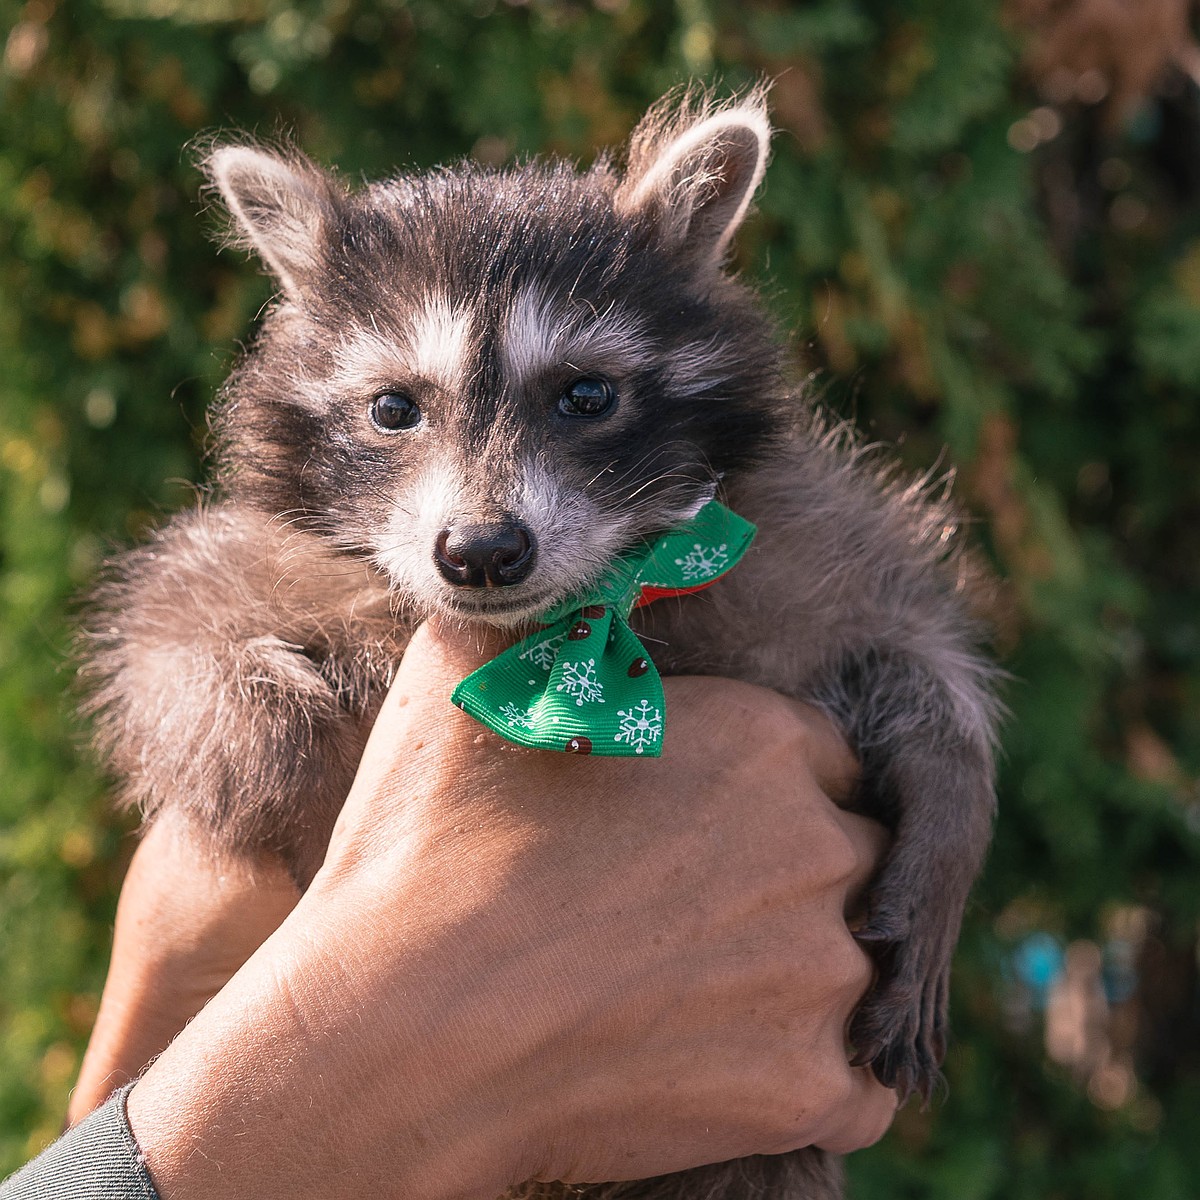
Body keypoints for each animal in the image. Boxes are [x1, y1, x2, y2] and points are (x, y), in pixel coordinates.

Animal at [84, 87, 998, 1200]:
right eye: (394, 408)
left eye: (587, 395)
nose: (481, 553)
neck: (567, 617)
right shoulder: (265, 555)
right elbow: (172, 641)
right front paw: (298, 773)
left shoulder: (798, 542)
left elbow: (907, 638)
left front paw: (950, 806)